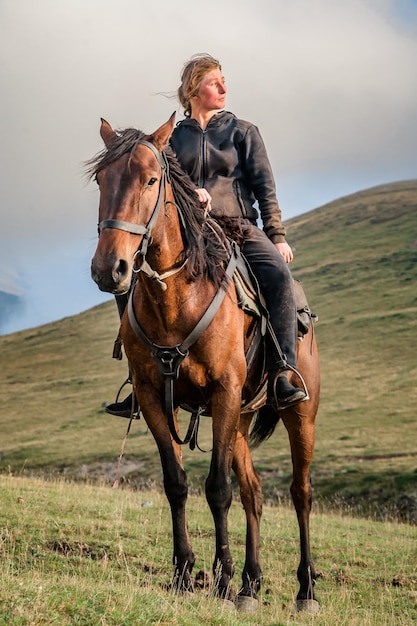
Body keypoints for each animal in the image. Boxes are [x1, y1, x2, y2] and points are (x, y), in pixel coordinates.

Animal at [88, 112, 318, 608]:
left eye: (151, 179)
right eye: (101, 179)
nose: (109, 269)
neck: (176, 296)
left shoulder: (224, 391)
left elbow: (217, 489)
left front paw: (222, 578)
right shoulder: (155, 397)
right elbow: (176, 483)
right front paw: (183, 573)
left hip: (299, 414)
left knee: (300, 491)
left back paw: (305, 587)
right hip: (240, 422)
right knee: (254, 493)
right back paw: (252, 584)